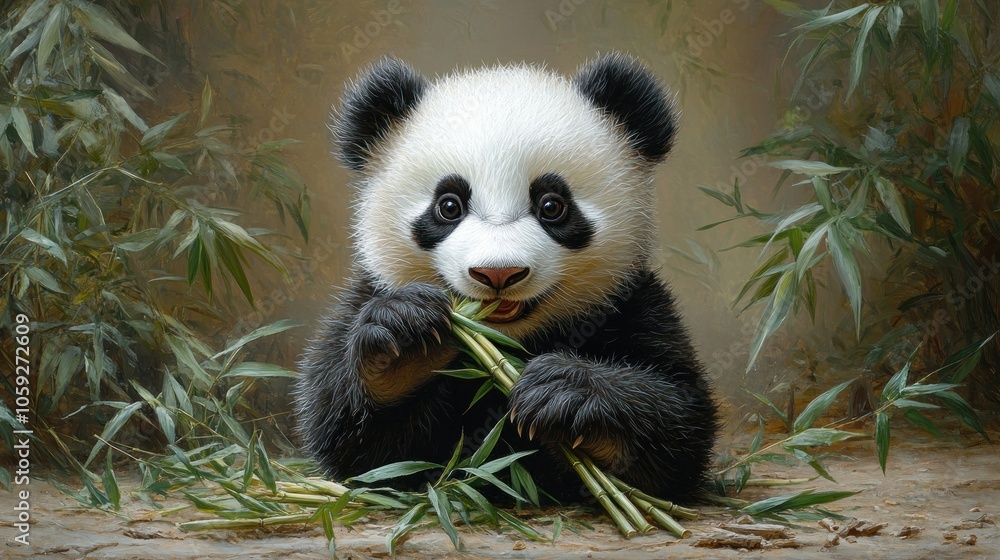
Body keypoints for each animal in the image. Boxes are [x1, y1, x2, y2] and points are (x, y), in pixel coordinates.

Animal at [294, 53, 718, 503]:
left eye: (552, 205)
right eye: (449, 205)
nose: (498, 272)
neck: (507, 340)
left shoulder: (630, 303)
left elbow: (680, 425)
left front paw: (566, 393)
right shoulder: (367, 293)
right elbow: (361, 451)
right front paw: (404, 345)